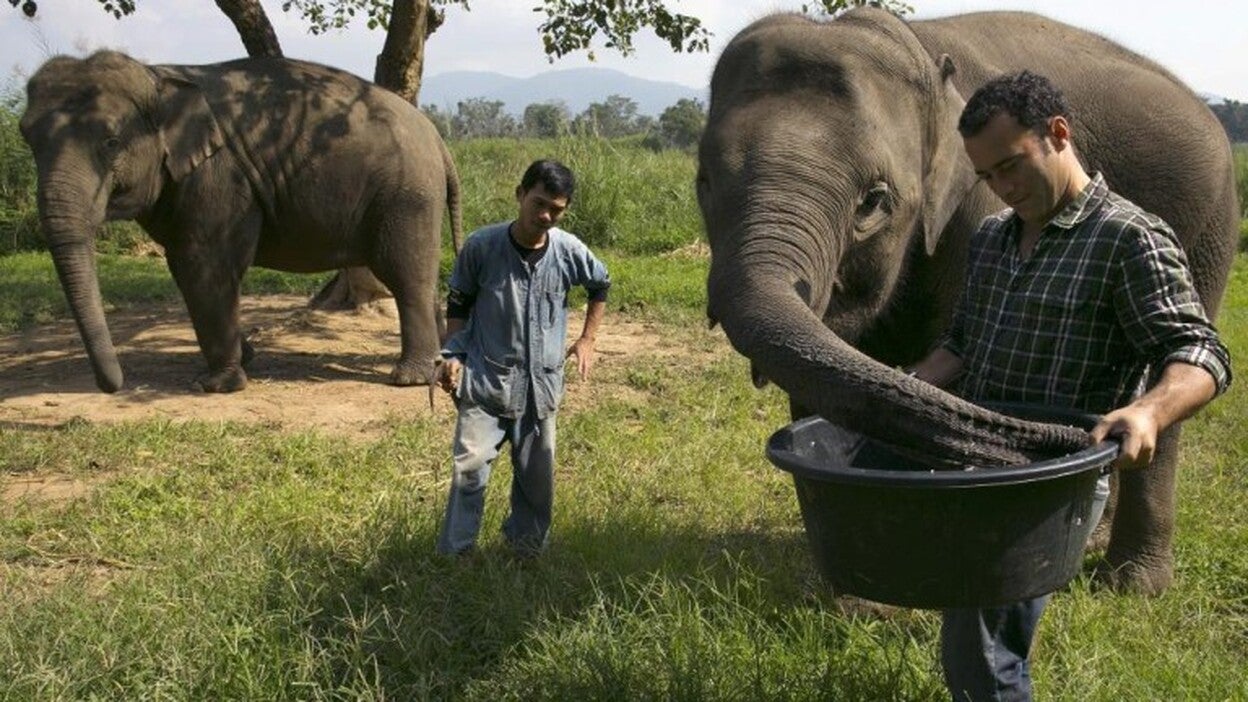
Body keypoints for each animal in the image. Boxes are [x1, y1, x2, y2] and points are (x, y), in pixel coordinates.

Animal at [19, 50, 462, 393]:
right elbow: (185, 268)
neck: (158, 74)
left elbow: (204, 264)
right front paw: (244, 358)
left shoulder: (217, 175)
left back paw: (409, 378)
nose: (114, 386)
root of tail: (438, 140)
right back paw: (440, 355)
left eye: (111, 141)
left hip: (407, 196)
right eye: (27, 138)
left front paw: (215, 385)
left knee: (405, 274)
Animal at [697, 9, 1238, 594]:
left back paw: (1132, 583)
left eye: (873, 202)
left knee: (1176, 363)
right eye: (704, 184)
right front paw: (849, 597)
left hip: (1207, 232)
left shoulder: (978, 208)